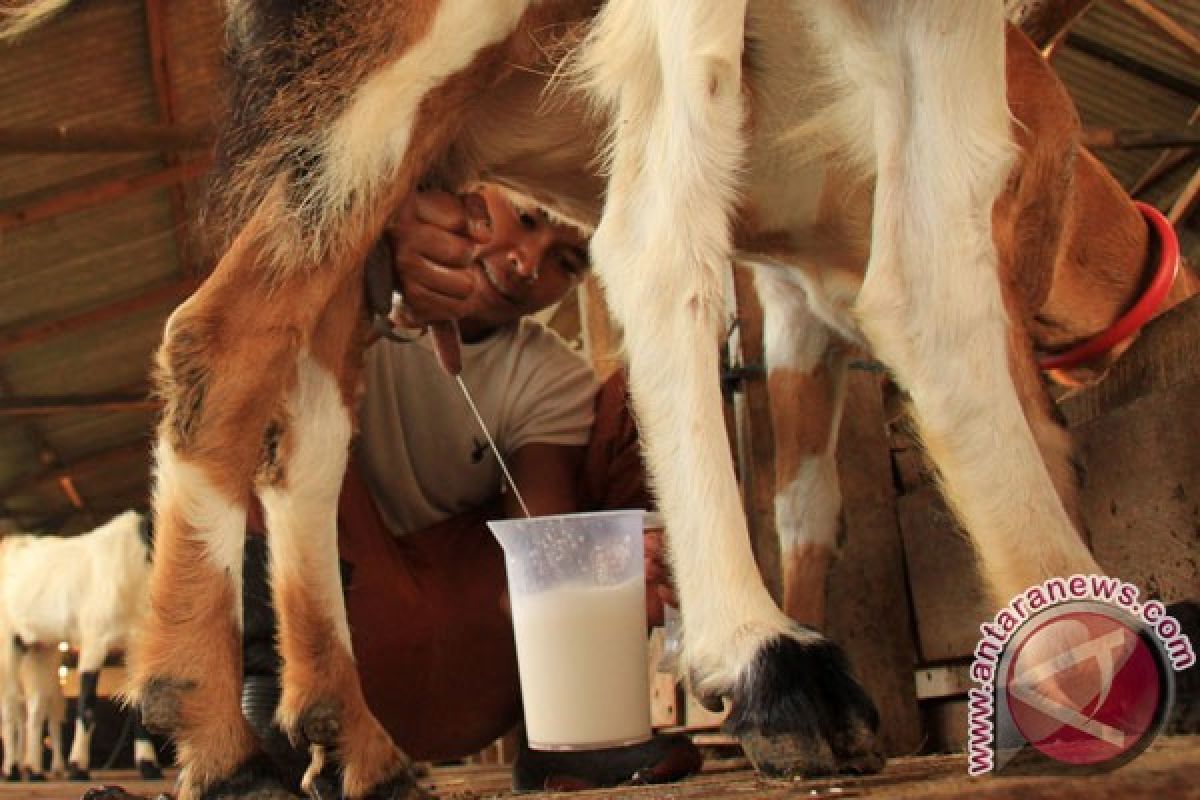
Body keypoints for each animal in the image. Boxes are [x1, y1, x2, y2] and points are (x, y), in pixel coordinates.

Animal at [0, 513, 162, 782]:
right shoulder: (94, 640)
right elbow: (86, 706)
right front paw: (77, 766)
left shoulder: (137, 644)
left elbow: (139, 703)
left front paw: (148, 764)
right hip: (7, 644)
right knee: (11, 705)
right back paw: (12, 770)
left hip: (42, 647)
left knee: (36, 707)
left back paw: (34, 770)